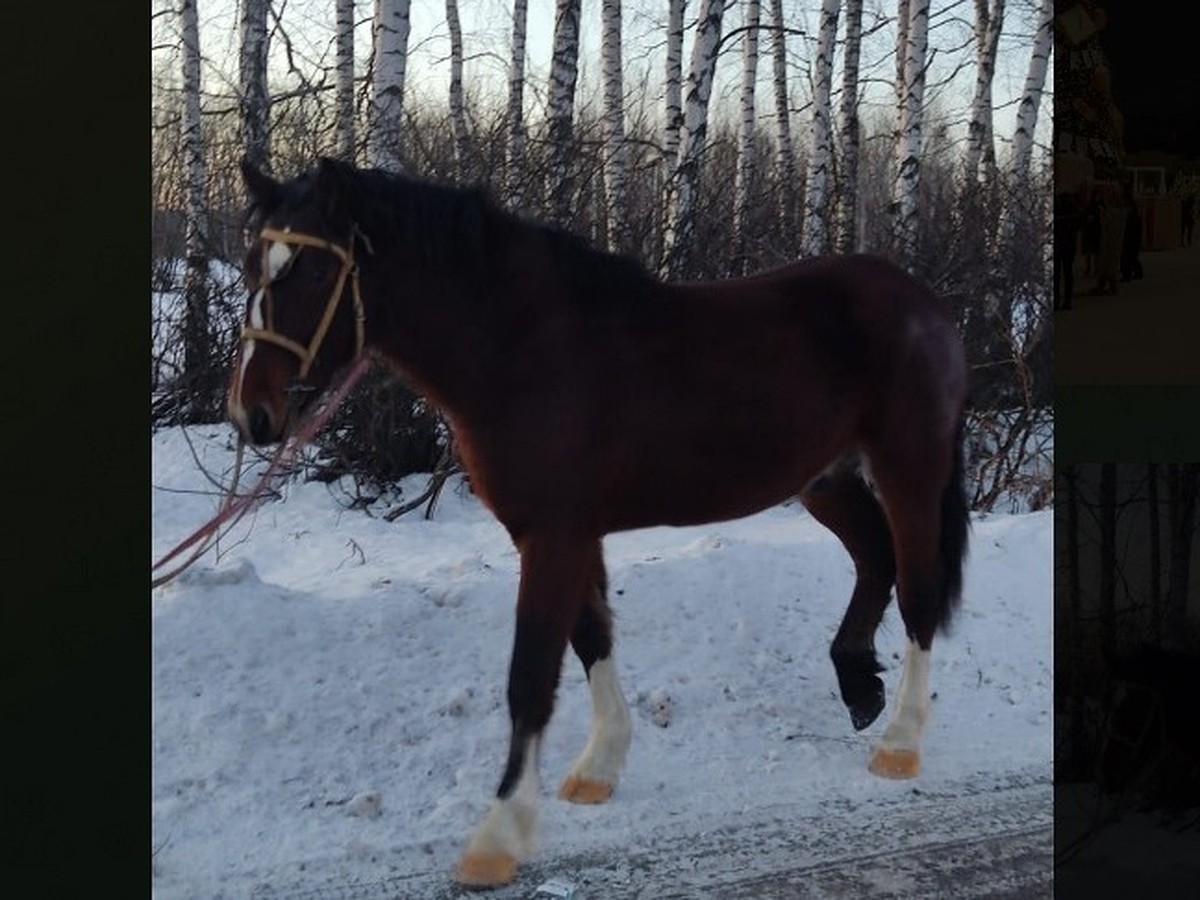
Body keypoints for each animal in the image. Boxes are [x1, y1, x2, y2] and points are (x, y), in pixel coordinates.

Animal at [226, 158, 964, 892]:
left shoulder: (555, 536)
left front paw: (498, 836)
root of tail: (925, 304)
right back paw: (859, 684)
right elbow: (591, 638)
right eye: (251, 267)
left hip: (908, 470)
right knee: (875, 560)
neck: (522, 349)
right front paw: (599, 766)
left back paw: (900, 740)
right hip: (826, 479)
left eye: (309, 273)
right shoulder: (563, 534)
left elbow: (531, 674)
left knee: (918, 591)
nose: (252, 413)